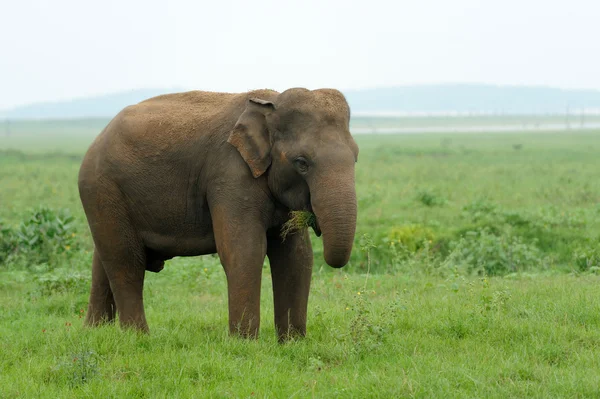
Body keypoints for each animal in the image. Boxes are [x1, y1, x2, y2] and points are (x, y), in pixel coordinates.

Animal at [79, 87, 360, 340]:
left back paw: (95, 332)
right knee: (125, 260)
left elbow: (296, 256)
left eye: (356, 158)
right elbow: (244, 251)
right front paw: (244, 344)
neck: (272, 102)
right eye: (301, 163)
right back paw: (138, 337)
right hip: (102, 188)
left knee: (103, 257)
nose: (317, 224)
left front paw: (292, 343)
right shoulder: (230, 175)